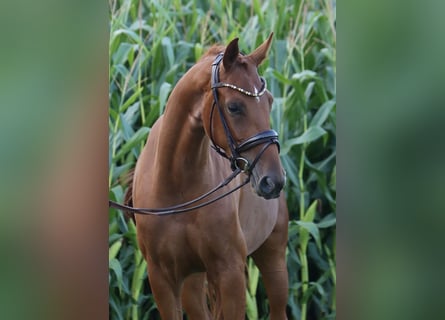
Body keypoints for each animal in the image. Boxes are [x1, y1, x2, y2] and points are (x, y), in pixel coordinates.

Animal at [129, 33, 288, 318]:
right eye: (234, 107)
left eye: (270, 100)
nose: (273, 181)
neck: (176, 185)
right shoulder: (162, 279)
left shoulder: (230, 273)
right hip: (193, 282)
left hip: (274, 259)